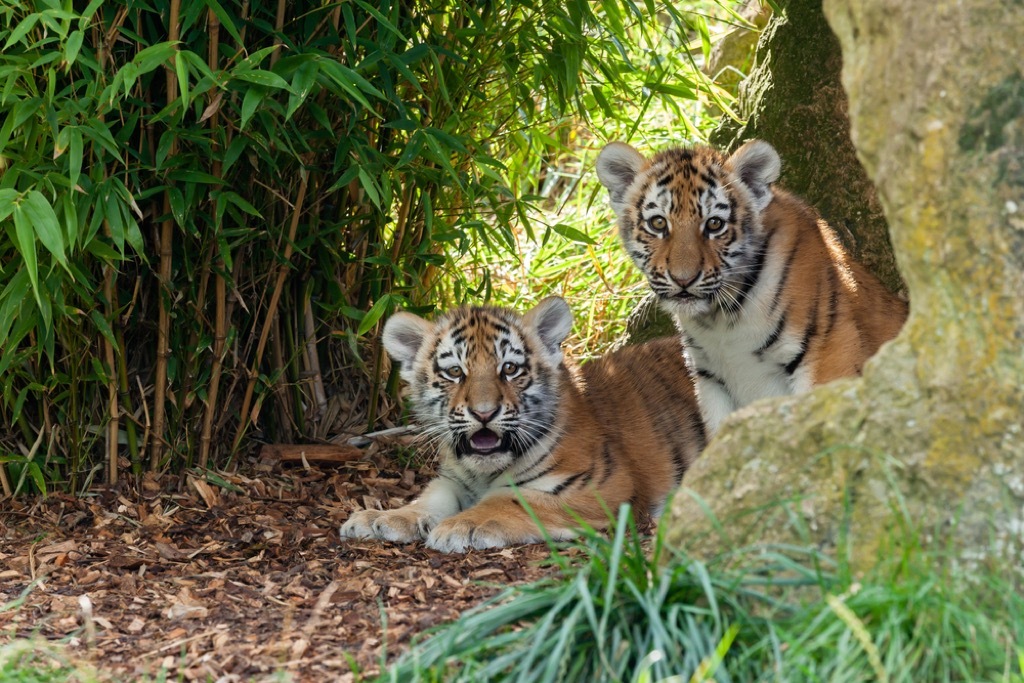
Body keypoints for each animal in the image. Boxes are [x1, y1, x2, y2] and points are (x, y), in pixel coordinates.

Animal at [339, 297, 705, 553]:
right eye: (455, 372)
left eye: (510, 369)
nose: (484, 413)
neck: (483, 472)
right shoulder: (454, 478)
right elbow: (428, 498)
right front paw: (382, 518)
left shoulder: (604, 484)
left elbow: (511, 497)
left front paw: (461, 526)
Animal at [595, 139, 908, 436]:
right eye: (658, 223)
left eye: (714, 224)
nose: (683, 279)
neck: (722, 321)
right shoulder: (711, 381)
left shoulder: (828, 352)